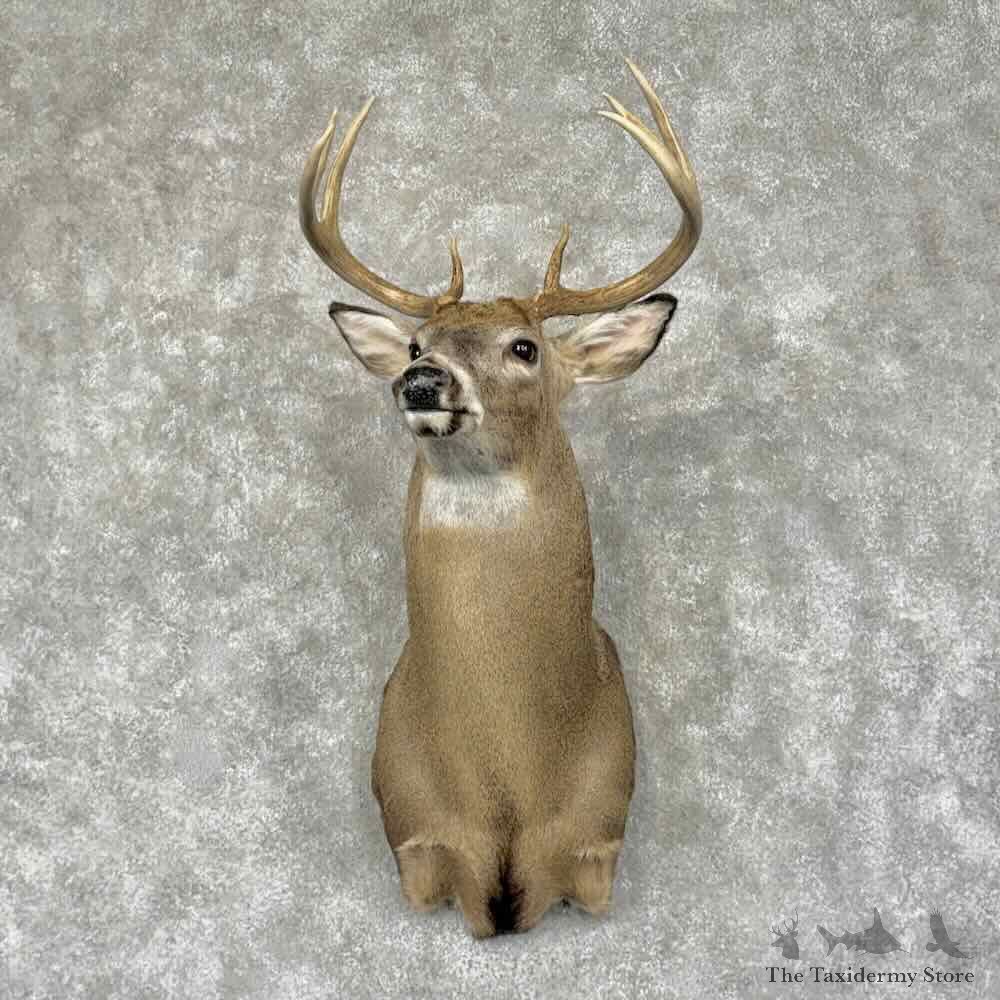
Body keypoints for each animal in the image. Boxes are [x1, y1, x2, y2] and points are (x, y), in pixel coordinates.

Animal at [299, 58, 701, 937]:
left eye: (524, 348)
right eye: (415, 344)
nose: (421, 381)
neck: (511, 781)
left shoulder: (598, 844)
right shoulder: (416, 840)